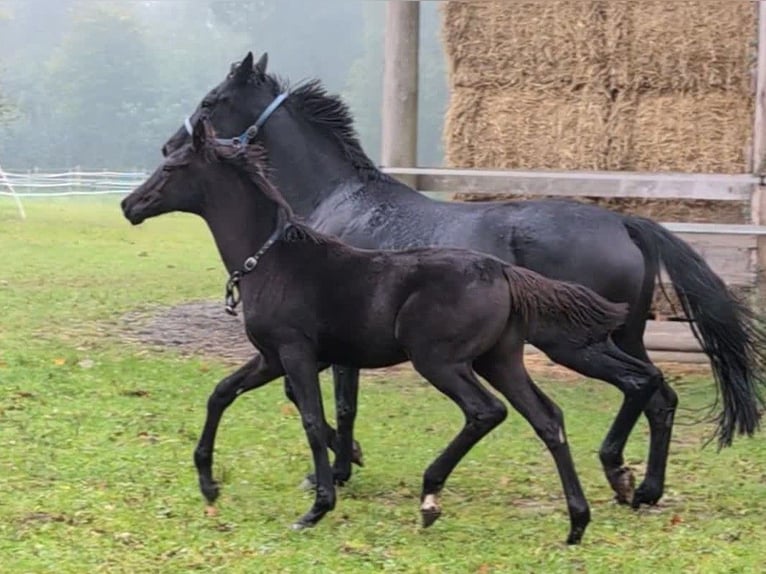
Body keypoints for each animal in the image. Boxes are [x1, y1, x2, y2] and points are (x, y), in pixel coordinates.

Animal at [120, 117, 640, 544]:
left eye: (172, 167)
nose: (129, 204)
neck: (271, 260)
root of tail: (502, 272)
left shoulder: (296, 353)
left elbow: (312, 420)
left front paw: (318, 506)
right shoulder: (270, 357)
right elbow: (222, 393)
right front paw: (209, 482)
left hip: (440, 360)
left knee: (486, 411)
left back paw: (431, 494)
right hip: (500, 359)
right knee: (547, 419)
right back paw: (577, 521)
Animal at [164, 53, 766, 508]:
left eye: (212, 101)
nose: (170, 147)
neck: (338, 202)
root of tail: (625, 222)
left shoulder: (329, 343)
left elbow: (331, 402)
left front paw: (336, 469)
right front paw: (341, 465)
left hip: (576, 344)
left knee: (640, 386)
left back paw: (617, 469)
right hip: (624, 336)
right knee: (660, 396)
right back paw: (643, 488)